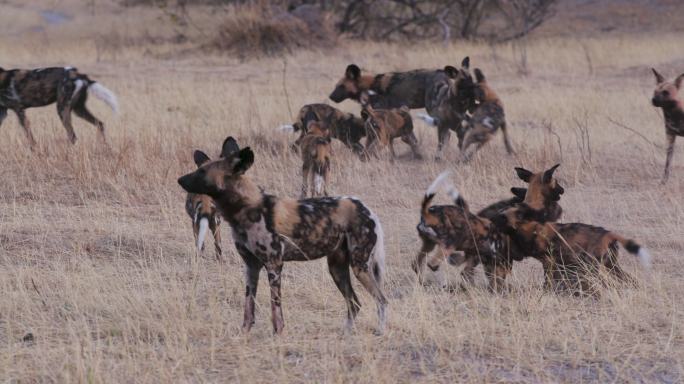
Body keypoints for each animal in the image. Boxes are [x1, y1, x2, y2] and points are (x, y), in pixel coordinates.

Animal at [179, 136, 388, 334]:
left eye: (202, 172)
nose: (179, 179)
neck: (246, 209)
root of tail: (365, 208)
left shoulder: (274, 266)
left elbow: (276, 308)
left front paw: (278, 334)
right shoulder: (251, 267)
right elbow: (248, 307)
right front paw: (245, 333)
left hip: (359, 267)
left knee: (382, 300)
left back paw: (380, 331)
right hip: (337, 268)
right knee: (354, 303)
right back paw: (346, 333)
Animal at [328, 58, 472, 159]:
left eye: (340, 86)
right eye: (336, 86)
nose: (330, 96)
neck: (369, 85)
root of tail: (444, 74)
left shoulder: (380, 112)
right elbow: (411, 140)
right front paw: (416, 155)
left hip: (433, 109)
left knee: (449, 134)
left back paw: (443, 156)